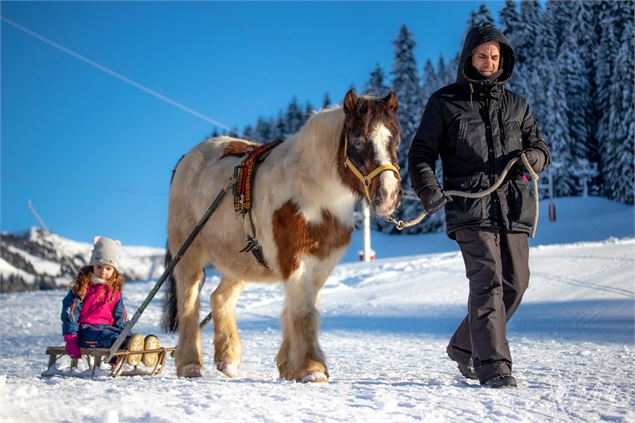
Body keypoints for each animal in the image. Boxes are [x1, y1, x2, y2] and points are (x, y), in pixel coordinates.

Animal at [164, 91, 402, 382]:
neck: (315, 193)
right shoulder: (296, 258)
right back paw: (190, 364)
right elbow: (304, 313)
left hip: (241, 261)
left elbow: (297, 309)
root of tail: (187, 159)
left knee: (220, 297)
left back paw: (228, 359)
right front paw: (312, 368)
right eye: (357, 139)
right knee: (188, 298)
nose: (388, 194)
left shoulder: (323, 261)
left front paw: (290, 366)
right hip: (189, 251)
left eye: (396, 139)